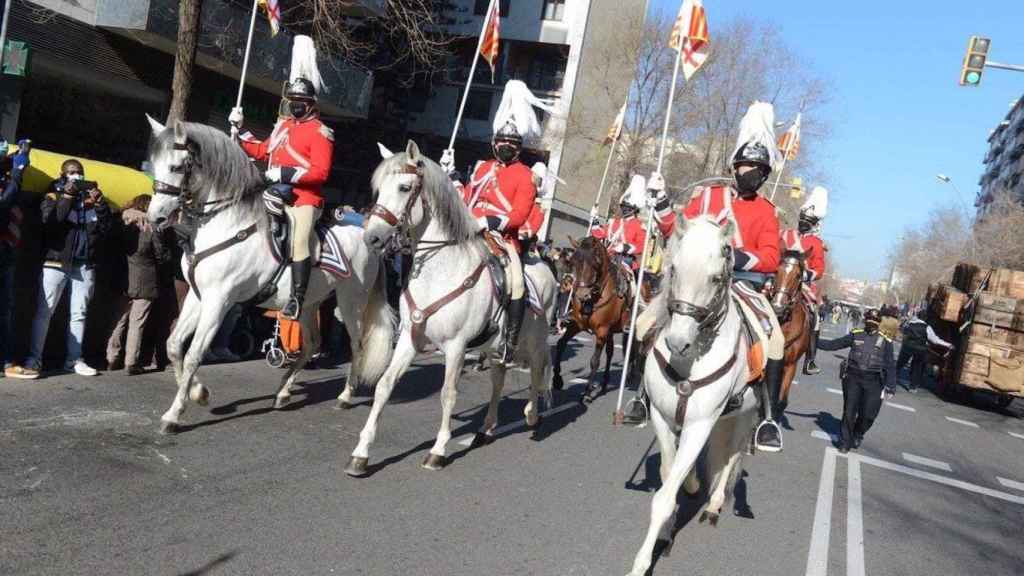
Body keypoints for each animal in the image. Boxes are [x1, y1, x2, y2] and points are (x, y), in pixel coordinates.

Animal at [146, 116, 393, 430]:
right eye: (154, 164)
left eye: (177, 167)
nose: (155, 217)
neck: (227, 222)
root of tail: (368, 235)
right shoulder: (198, 295)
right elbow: (174, 345)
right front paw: (198, 393)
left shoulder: (219, 300)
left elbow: (193, 355)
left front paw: (175, 413)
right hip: (310, 303)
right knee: (312, 343)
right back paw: (283, 392)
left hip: (351, 303)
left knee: (356, 344)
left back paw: (345, 396)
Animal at [344, 140, 557, 475]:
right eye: (378, 189)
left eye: (405, 187)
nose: (372, 238)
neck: (440, 271)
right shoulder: (410, 338)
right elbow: (384, 386)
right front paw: (361, 453)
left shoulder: (456, 345)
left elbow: (448, 394)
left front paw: (438, 450)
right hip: (496, 348)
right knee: (498, 381)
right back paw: (485, 429)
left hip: (534, 342)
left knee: (536, 374)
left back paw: (532, 415)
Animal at [552, 235, 630, 401]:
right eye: (573, 262)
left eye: (595, 264)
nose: (582, 295)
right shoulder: (576, 325)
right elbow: (561, 344)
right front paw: (557, 380)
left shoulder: (602, 331)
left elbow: (594, 361)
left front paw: (587, 393)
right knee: (610, 352)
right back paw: (605, 383)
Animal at [622, 214, 761, 573]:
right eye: (674, 269)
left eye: (716, 278)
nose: (677, 342)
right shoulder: (663, 417)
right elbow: (669, 475)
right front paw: (667, 530)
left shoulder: (700, 423)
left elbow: (664, 497)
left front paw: (641, 564)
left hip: (744, 416)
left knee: (732, 456)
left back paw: (713, 506)